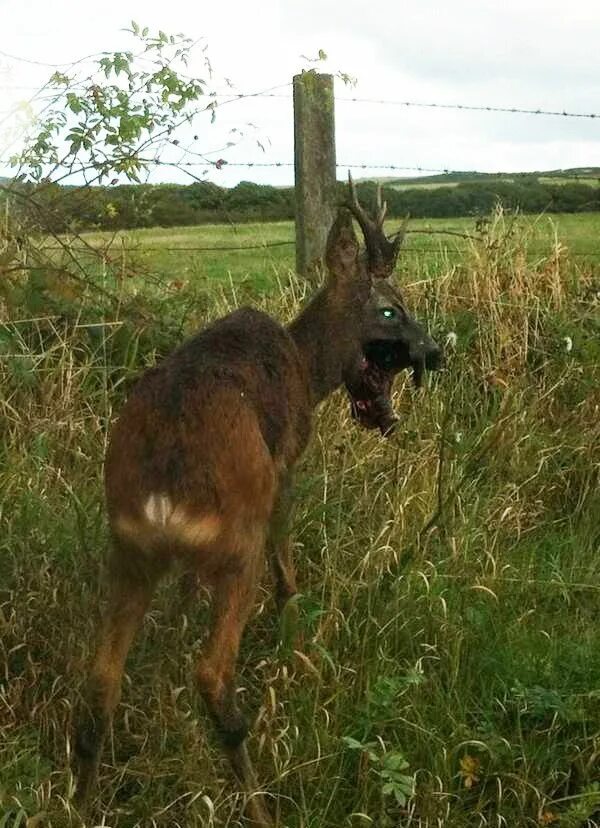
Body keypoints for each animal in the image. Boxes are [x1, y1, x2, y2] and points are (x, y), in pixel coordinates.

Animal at [74, 178, 440, 824]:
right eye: (390, 307)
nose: (433, 350)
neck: (306, 365)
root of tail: (165, 483)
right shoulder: (286, 462)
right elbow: (287, 568)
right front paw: (298, 645)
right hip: (235, 540)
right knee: (213, 672)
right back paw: (261, 803)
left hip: (127, 551)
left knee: (99, 682)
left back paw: (81, 803)